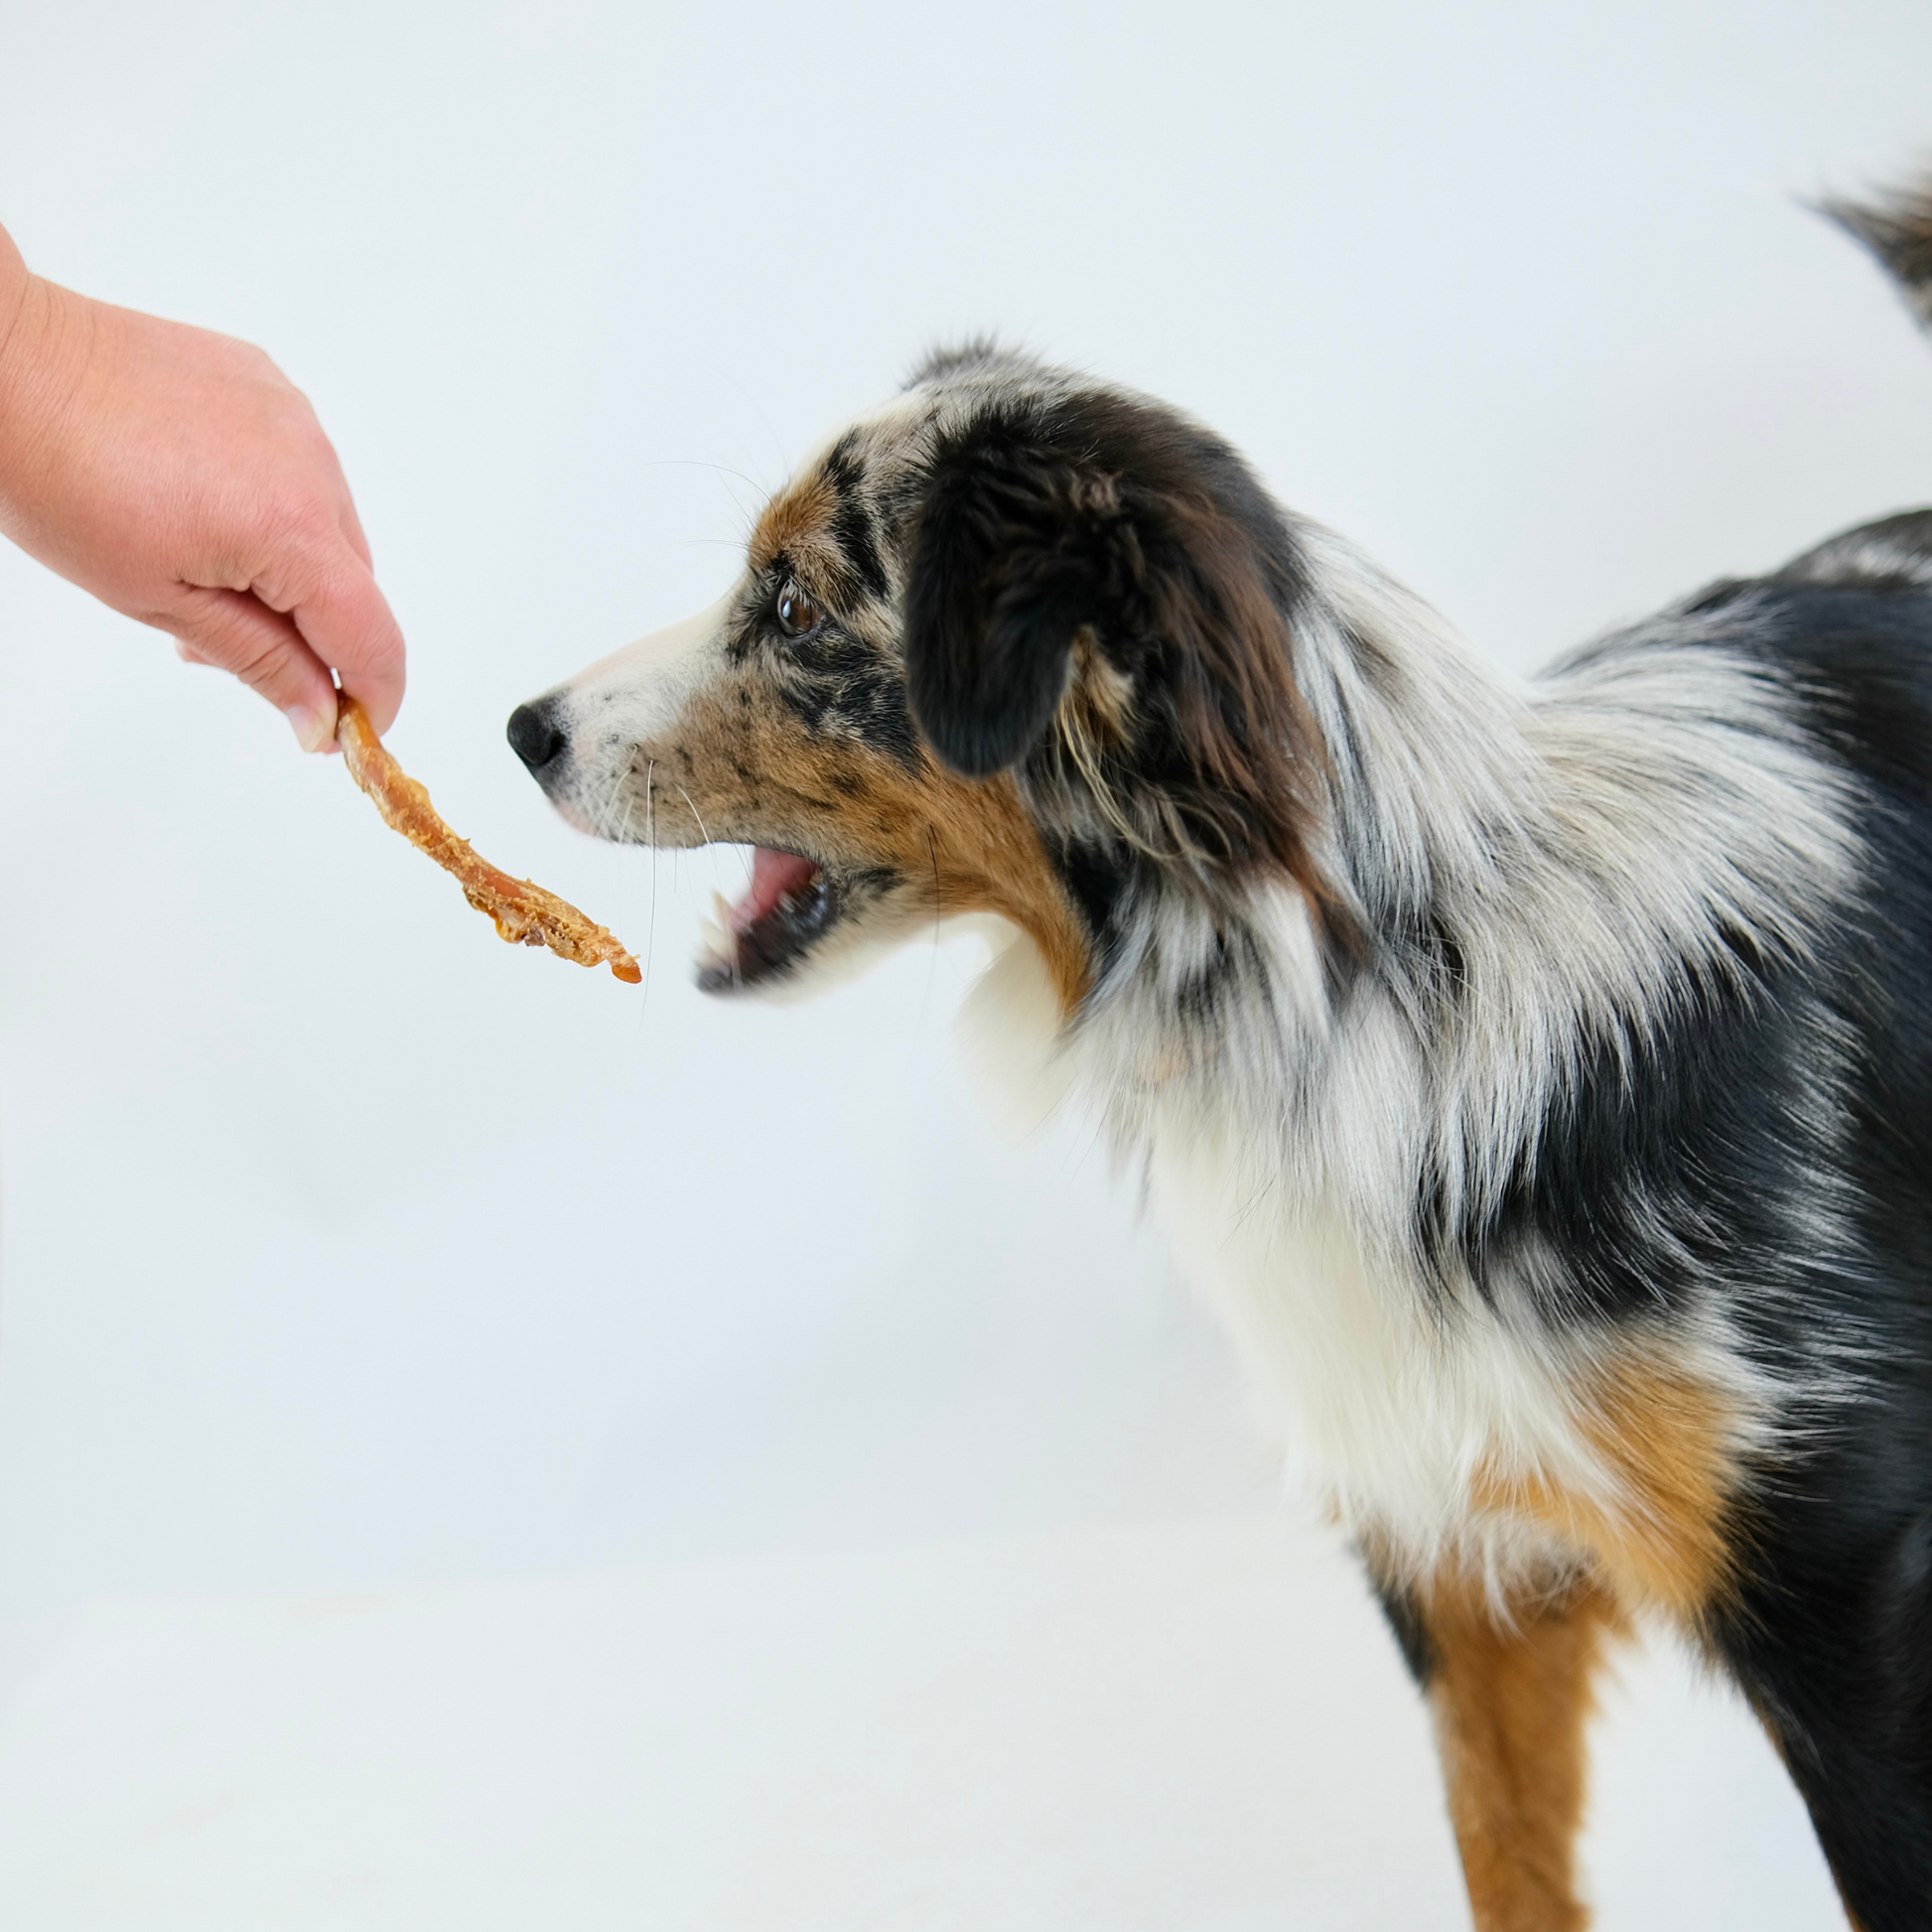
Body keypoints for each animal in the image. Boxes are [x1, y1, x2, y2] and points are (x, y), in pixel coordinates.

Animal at [509, 181, 1932, 1932]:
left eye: (791, 607)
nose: (522, 726)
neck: (1368, 986)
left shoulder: (1848, 1587)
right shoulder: (1449, 1548)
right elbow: (1506, 1859)